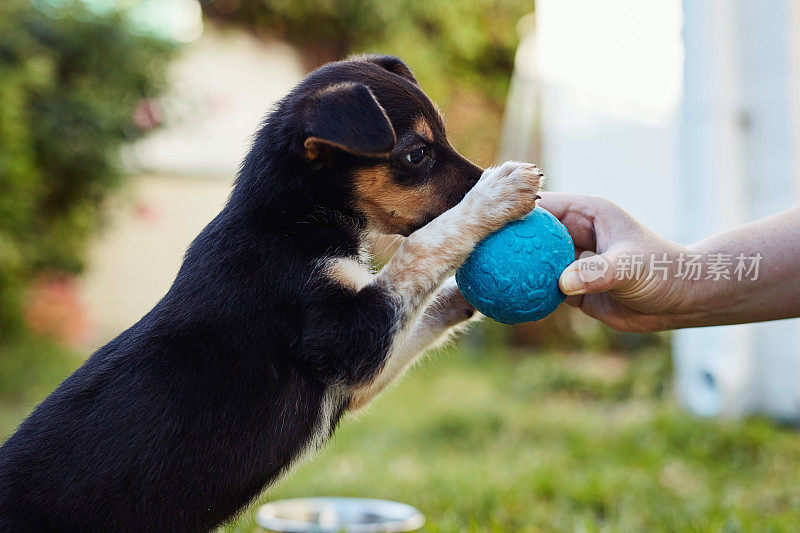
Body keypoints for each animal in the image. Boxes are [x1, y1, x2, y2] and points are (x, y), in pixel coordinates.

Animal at [0, 56, 544, 528]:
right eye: (417, 154)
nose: (481, 178)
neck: (289, 214)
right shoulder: (343, 339)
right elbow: (419, 251)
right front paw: (495, 196)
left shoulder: (360, 371)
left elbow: (425, 305)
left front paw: (467, 294)